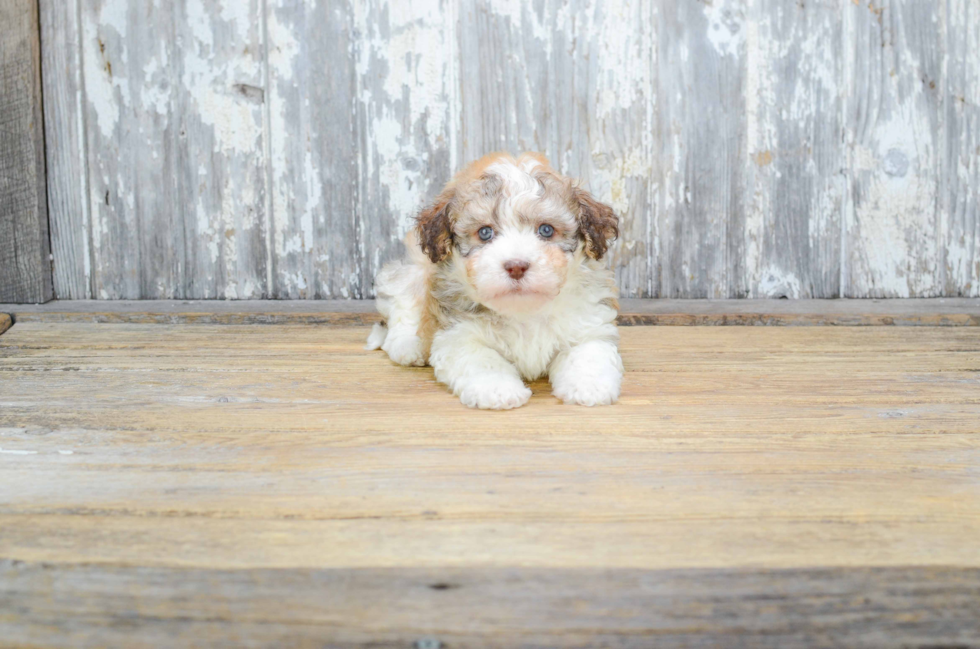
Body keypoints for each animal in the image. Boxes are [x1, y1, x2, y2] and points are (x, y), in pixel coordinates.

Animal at [364, 151, 624, 410]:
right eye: (485, 233)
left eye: (546, 230)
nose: (516, 266)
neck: (523, 309)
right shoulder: (459, 334)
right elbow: (482, 361)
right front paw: (497, 390)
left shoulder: (588, 322)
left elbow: (588, 352)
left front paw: (589, 387)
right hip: (414, 270)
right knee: (403, 303)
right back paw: (408, 346)